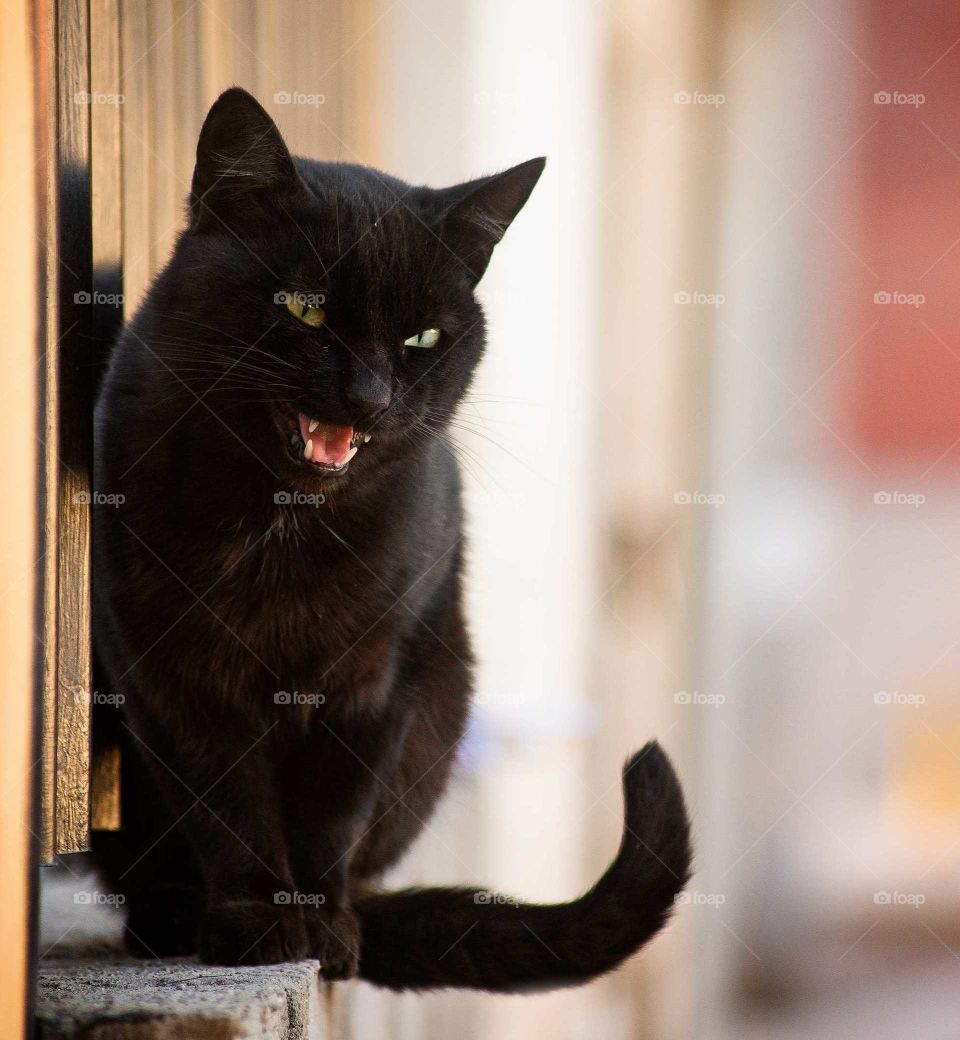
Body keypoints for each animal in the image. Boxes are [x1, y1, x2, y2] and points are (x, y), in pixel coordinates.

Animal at [92, 89, 690, 990]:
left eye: (422, 340)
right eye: (304, 306)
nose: (368, 394)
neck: (282, 526)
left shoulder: (379, 678)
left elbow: (331, 812)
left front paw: (321, 932)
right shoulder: (168, 665)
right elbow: (225, 801)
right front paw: (256, 924)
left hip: (446, 680)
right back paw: (167, 920)